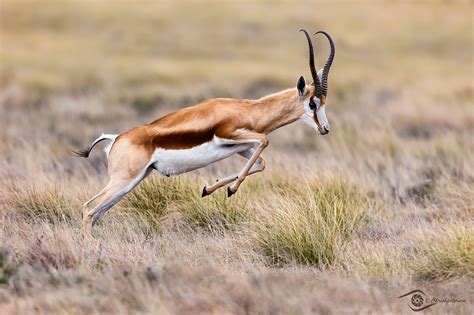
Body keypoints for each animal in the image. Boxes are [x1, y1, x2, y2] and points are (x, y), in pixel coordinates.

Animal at [73, 30, 334, 237]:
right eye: (312, 103)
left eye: (323, 102)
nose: (325, 129)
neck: (249, 109)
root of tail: (116, 138)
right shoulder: (228, 135)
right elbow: (265, 140)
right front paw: (230, 189)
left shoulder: (241, 147)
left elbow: (260, 162)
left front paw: (210, 188)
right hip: (123, 181)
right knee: (89, 208)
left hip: (134, 180)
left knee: (98, 212)